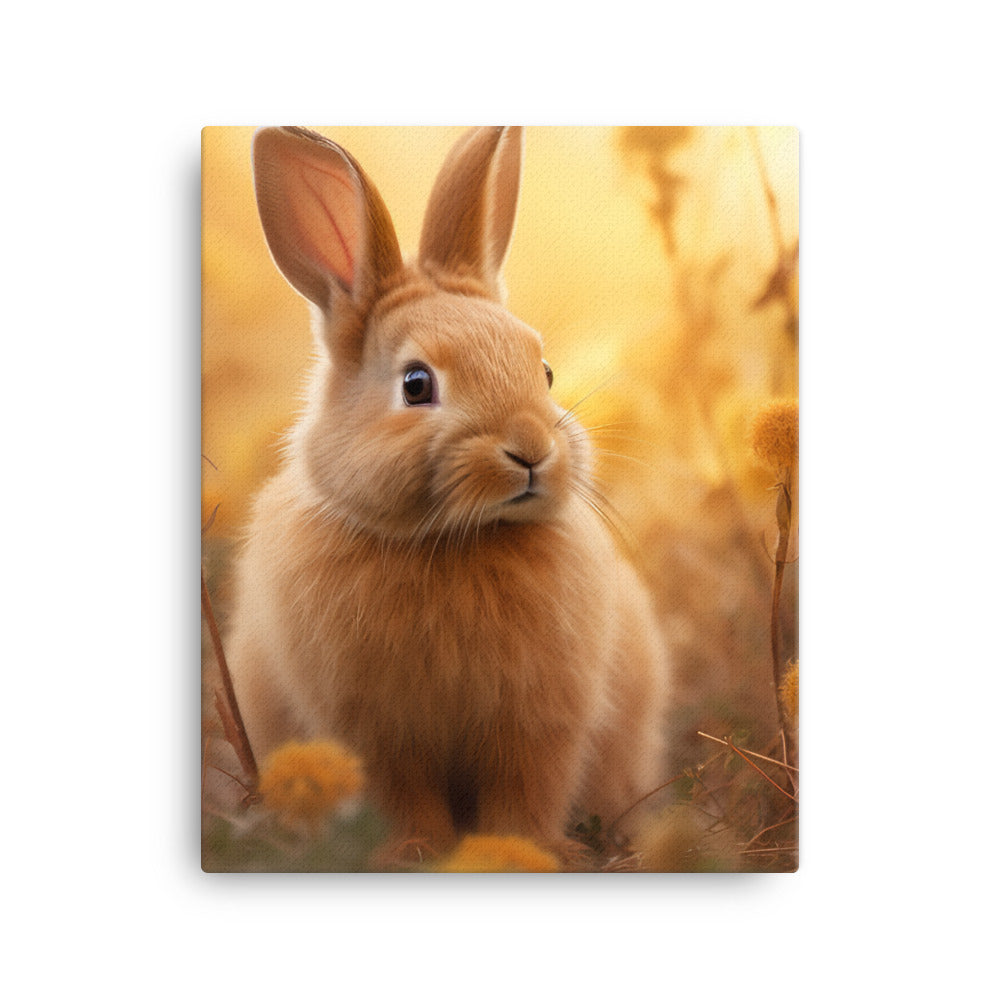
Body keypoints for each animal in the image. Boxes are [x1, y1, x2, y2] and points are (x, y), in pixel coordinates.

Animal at [226, 126, 667, 859]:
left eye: (544, 371)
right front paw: (415, 854)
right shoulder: (374, 730)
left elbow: (527, 786)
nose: (530, 451)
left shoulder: (540, 718)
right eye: (416, 385)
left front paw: (521, 851)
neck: (456, 541)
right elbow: (403, 795)